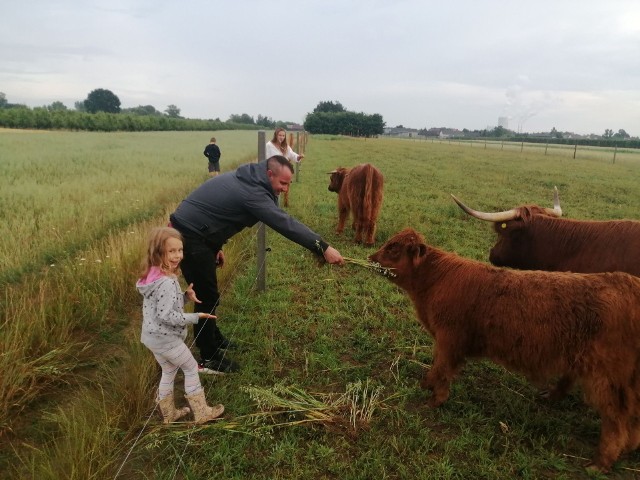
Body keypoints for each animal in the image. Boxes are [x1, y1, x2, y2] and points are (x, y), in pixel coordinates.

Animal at [368, 229, 640, 472]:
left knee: (617, 419)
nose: (370, 257)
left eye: (393, 248)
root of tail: (629, 284)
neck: (435, 280)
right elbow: (437, 367)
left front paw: (434, 399)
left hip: (608, 377)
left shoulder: (449, 340)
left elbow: (442, 368)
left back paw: (600, 463)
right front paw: (426, 386)